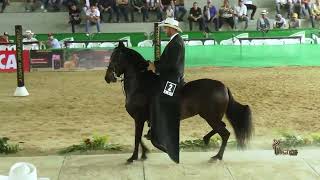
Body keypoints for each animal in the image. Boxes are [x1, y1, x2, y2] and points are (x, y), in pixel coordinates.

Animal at [105, 42, 252, 163]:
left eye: (115, 58)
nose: (108, 77)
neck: (140, 86)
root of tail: (223, 87)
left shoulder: (139, 118)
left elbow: (137, 138)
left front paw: (133, 157)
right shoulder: (141, 119)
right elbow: (140, 138)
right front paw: (144, 154)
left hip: (210, 117)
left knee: (225, 133)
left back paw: (217, 157)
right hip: (211, 116)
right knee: (221, 128)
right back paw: (206, 140)